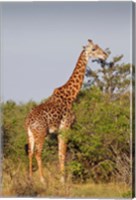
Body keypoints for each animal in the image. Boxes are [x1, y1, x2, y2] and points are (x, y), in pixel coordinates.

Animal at [24, 39, 107, 183]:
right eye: (94, 49)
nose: (105, 55)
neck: (70, 96)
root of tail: (29, 122)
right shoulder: (66, 126)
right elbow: (63, 154)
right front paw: (63, 180)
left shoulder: (59, 130)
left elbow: (59, 153)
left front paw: (62, 178)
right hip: (41, 133)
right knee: (38, 153)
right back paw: (42, 179)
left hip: (30, 134)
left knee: (30, 152)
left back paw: (30, 178)